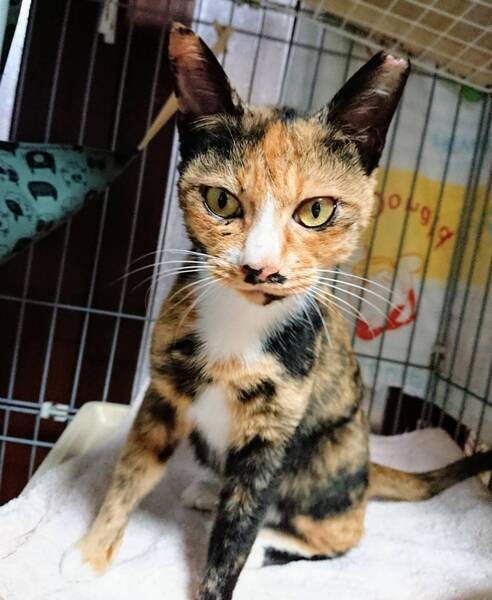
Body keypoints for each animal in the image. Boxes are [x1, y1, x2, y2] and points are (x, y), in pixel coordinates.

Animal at [61, 23, 492, 600]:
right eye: (220, 201)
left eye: (317, 210)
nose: (260, 268)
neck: (241, 326)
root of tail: (366, 468)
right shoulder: (164, 391)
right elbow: (132, 470)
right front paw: (91, 551)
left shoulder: (276, 428)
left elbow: (235, 535)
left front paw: (221, 576)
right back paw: (209, 489)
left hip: (326, 455)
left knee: (341, 532)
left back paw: (274, 540)